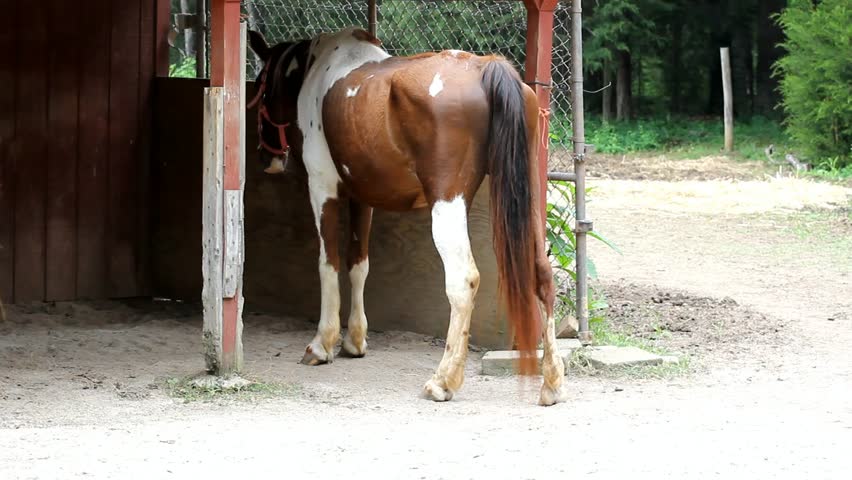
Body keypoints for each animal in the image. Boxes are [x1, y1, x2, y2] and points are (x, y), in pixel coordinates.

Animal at [247, 27, 567, 406]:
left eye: (260, 86)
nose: (266, 157)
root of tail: (486, 68)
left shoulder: (324, 189)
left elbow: (329, 264)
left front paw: (322, 344)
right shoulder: (362, 198)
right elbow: (358, 264)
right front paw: (355, 341)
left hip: (447, 204)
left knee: (463, 281)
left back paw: (443, 380)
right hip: (527, 199)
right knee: (542, 275)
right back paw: (552, 383)